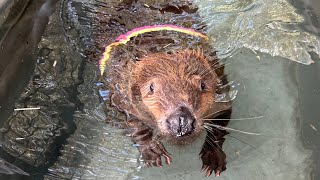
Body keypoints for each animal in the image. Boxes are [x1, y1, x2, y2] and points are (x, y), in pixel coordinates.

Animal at [104, 43, 231, 176]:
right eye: (151, 87)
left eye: (202, 84)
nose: (181, 122)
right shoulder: (120, 95)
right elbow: (129, 121)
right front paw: (153, 151)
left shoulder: (221, 97)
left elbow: (223, 117)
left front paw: (213, 159)